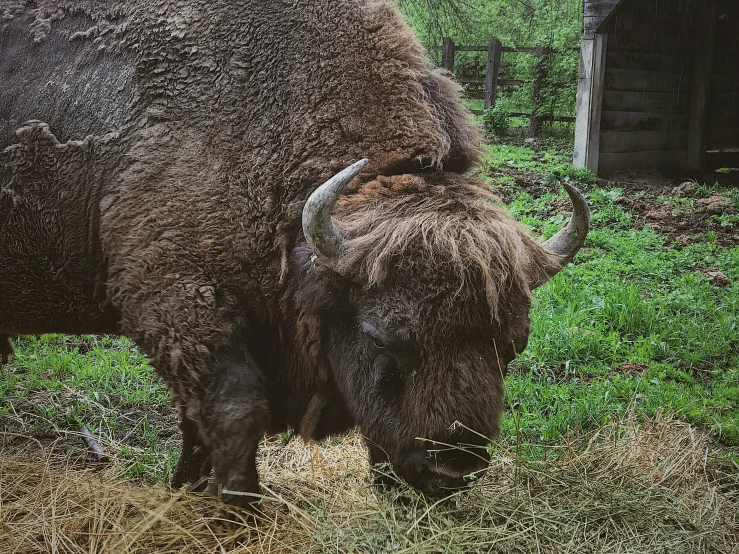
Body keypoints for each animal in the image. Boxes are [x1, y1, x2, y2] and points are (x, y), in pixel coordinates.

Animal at [0, 0, 588, 502]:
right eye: (383, 340)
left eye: (513, 344)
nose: (451, 468)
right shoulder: (171, 300)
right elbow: (235, 413)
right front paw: (237, 508)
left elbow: (198, 425)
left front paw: (189, 491)